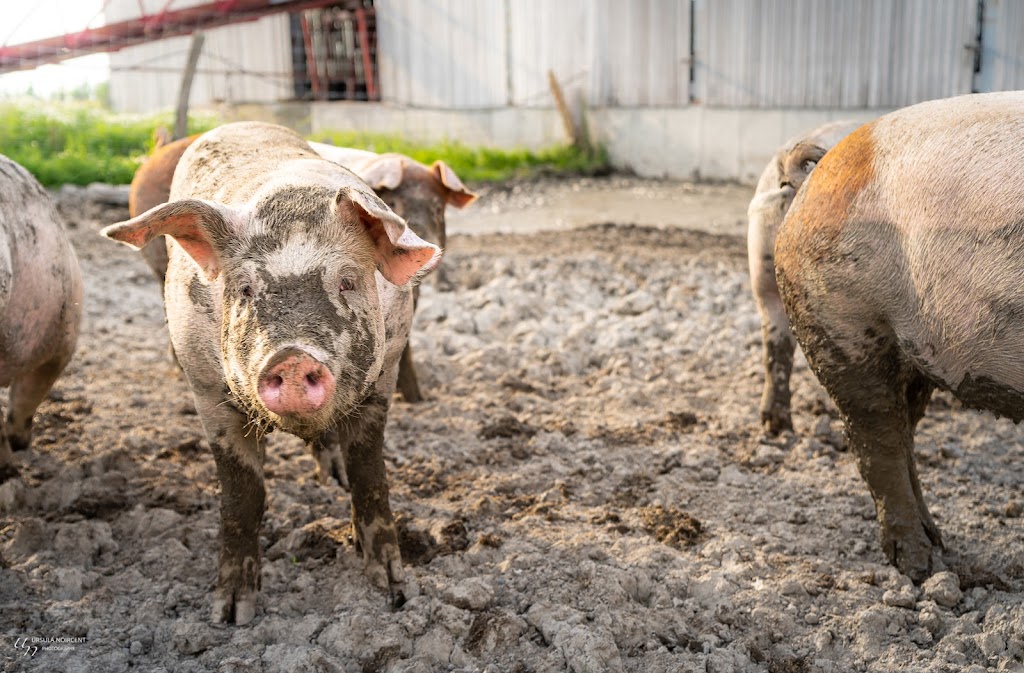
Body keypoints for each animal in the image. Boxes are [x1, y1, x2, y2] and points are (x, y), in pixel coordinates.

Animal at [101, 120, 442, 622]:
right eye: (244, 288)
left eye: (347, 281)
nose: (292, 357)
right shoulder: (207, 390)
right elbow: (242, 496)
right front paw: (230, 615)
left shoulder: (384, 376)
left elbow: (370, 478)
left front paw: (394, 593)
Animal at [774, 91, 1024, 581]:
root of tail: (821, 171)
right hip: (844, 320)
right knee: (877, 436)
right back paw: (918, 568)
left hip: (913, 352)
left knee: (905, 429)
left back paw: (937, 543)